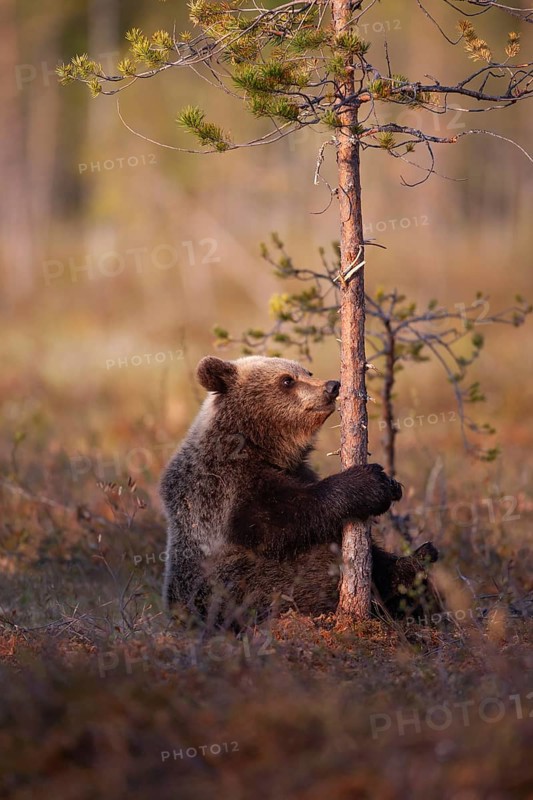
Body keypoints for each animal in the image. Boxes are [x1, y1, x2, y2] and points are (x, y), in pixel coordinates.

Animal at [160, 355, 439, 628]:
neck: (260, 447)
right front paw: (370, 482)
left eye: (307, 372)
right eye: (287, 380)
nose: (332, 386)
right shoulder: (224, 489)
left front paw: (392, 485)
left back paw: (416, 562)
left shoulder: (295, 471)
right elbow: (282, 519)